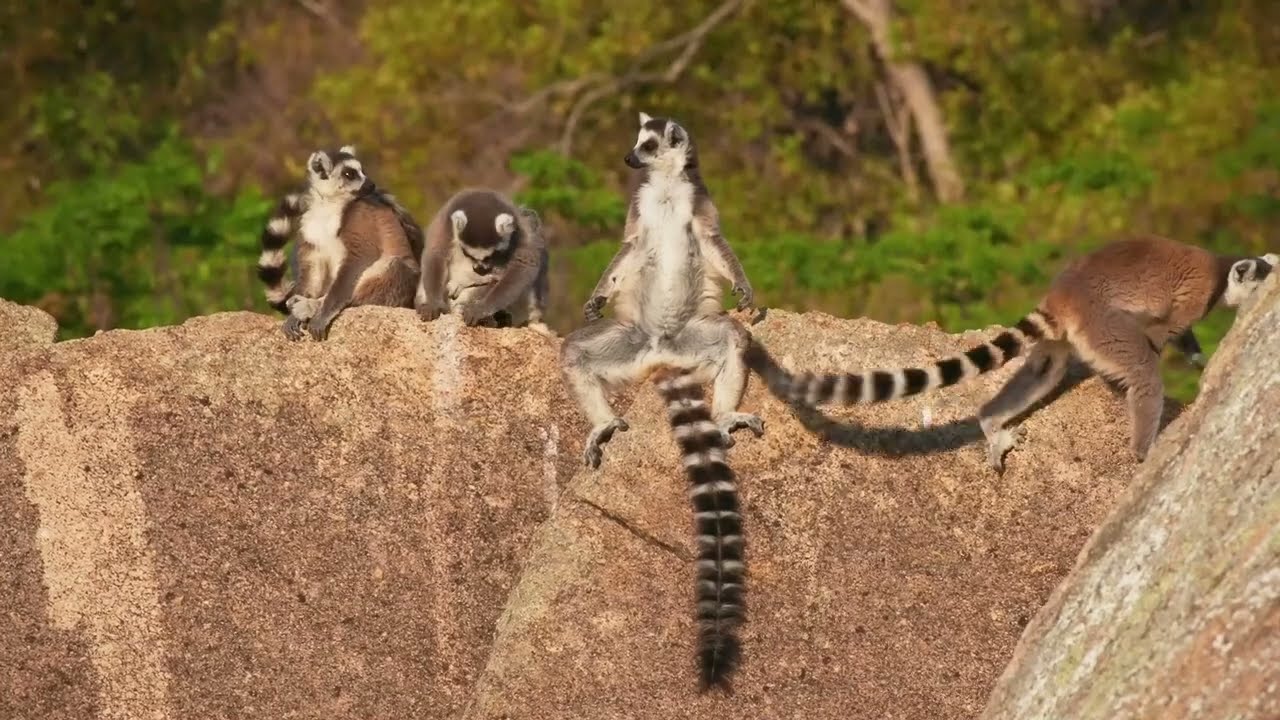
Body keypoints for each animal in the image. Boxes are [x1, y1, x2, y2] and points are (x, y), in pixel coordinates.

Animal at [256, 145, 424, 341]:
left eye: (362, 170)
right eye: (349, 174)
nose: (371, 185)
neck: (329, 204)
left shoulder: (359, 216)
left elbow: (360, 256)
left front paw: (321, 314)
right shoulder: (309, 227)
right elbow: (312, 268)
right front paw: (293, 318)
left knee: (396, 270)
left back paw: (311, 306)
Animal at [415, 187, 551, 335]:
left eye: (490, 256)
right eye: (468, 254)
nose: (479, 269)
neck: (483, 201)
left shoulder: (519, 231)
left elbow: (523, 265)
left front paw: (480, 309)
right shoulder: (446, 220)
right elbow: (436, 252)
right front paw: (434, 303)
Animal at [561, 112, 763, 470]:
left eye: (648, 145)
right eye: (637, 141)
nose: (628, 158)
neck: (667, 185)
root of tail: (660, 351)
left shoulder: (698, 198)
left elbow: (711, 241)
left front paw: (742, 285)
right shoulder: (640, 206)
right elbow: (630, 246)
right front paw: (597, 298)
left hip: (690, 340)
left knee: (735, 337)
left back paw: (724, 415)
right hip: (630, 343)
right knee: (573, 352)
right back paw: (604, 424)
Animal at [742, 237, 1277, 471]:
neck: (1221, 270)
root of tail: (1065, 291)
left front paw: (1200, 361)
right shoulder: (1187, 302)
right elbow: (1163, 333)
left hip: (1070, 335)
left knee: (1043, 368)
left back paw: (991, 422)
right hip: (1100, 320)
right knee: (1142, 371)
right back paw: (1143, 450)